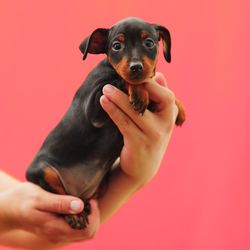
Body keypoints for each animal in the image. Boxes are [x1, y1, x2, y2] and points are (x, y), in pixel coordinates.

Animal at [25, 16, 186, 229]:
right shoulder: (95, 107)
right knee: (60, 192)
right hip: (42, 170)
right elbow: (122, 81)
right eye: (116, 46)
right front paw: (139, 92)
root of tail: (76, 193)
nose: (136, 67)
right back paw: (75, 214)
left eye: (149, 43)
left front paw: (179, 107)